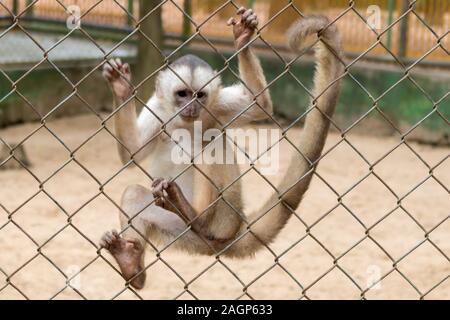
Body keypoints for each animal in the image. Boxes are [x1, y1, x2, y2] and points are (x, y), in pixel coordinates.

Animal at [100, 7, 342, 288]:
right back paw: (131, 263)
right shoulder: (158, 109)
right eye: (182, 94)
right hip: (176, 229)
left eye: (199, 95)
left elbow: (258, 106)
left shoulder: (215, 105)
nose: (192, 107)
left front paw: (243, 36)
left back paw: (198, 218)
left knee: (211, 143)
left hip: (227, 217)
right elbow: (132, 153)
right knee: (134, 194)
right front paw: (121, 88)